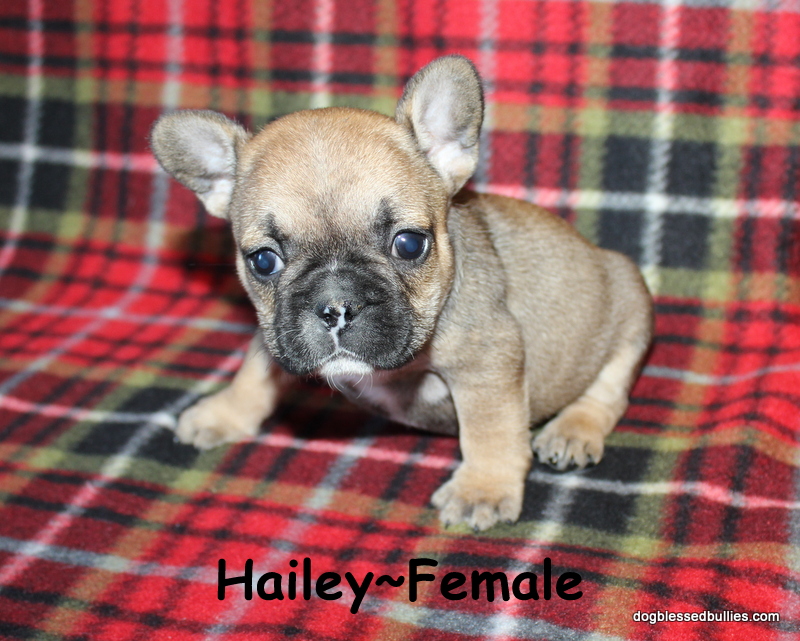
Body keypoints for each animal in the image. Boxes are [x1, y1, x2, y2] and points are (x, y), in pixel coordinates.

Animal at [150, 55, 653, 531]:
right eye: (263, 261)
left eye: (409, 244)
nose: (335, 306)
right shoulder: (278, 331)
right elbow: (254, 372)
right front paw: (224, 413)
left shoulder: (488, 363)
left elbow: (490, 430)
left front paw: (482, 489)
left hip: (632, 306)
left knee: (609, 389)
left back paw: (573, 431)